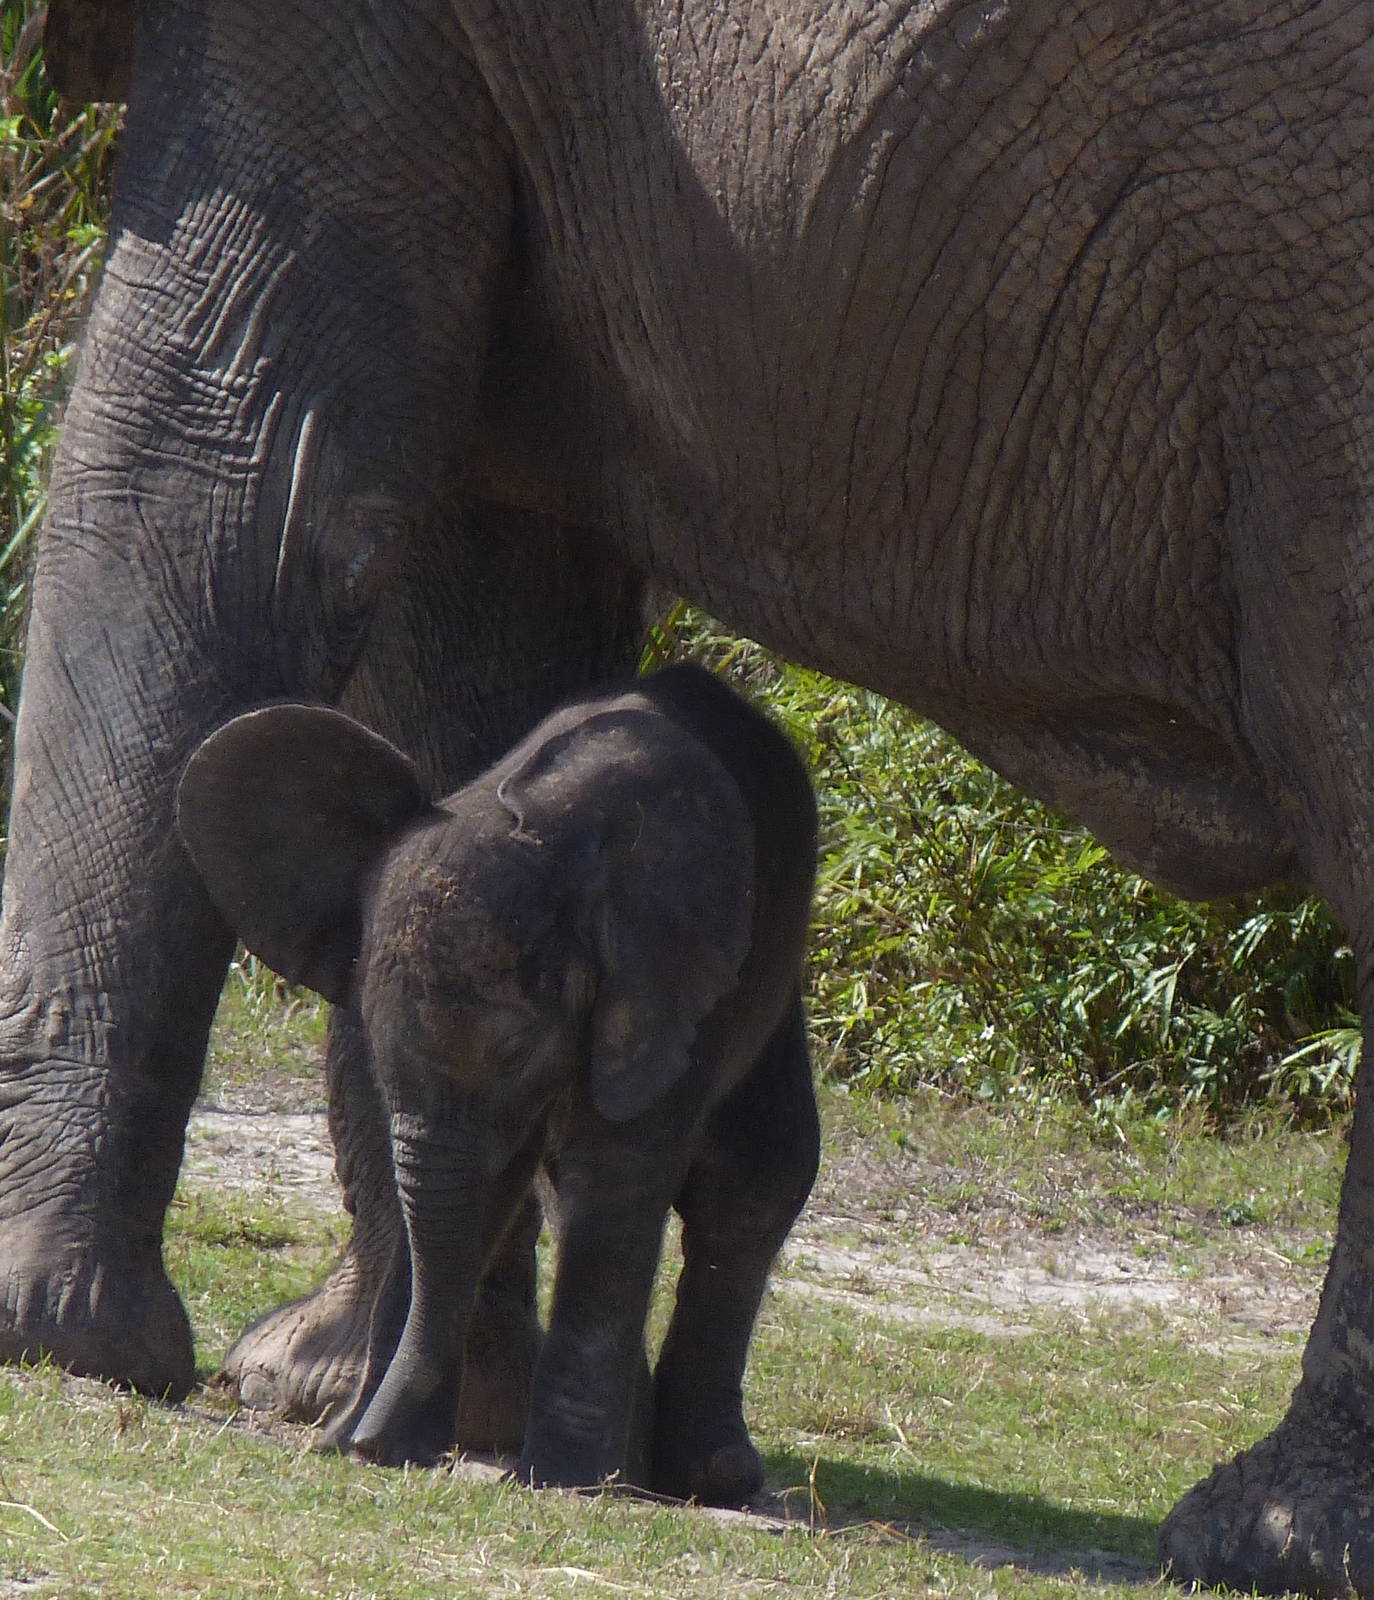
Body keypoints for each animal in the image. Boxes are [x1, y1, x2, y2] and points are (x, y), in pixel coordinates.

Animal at [173, 662, 819, 1497]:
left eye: (517, 1049)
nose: (362, 1448)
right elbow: (475, 1195)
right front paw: (372, 1440)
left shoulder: (667, 982)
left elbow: (613, 1174)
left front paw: (564, 1481)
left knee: (753, 1178)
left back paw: (706, 1477)